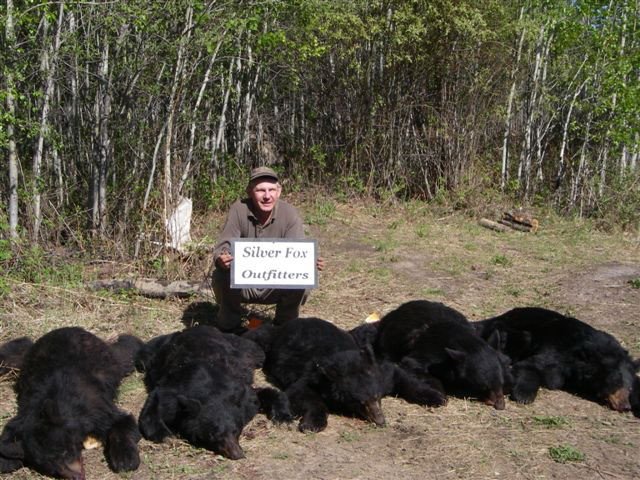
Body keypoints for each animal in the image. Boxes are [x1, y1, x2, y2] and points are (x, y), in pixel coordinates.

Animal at [0, 328, 141, 478]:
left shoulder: (94, 409)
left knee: (126, 353)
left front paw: (125, 459)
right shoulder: (25, 414)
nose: (77, 476)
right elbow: (9, 433)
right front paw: (8, 458)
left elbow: (121, 421)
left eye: (65, 451)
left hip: (110, 360)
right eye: (50, 468)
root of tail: (66, 328)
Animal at [139, 324, 294, 460]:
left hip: (242, 346)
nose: (238, 455)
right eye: (213, 435)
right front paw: (166, 436)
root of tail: (199, 326)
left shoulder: (242, 392)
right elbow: (154, 404)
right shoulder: (173, 392)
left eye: (236, 431)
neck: (211, 391)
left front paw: (284, 418)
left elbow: (262, 394)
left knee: (257, 351)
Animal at [242, 316, 448, 434]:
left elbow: (398, 375)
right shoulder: (315, 377)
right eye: (360, 402)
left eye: (377, 397)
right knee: (259, 337)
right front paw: (312, 424)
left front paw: (435, 396)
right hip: (270, 343)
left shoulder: (378, 371)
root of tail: (294, 321)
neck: (344, 359)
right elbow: (301, 393)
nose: (380, 421)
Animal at [372, 300, 512, 408]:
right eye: (484, 387)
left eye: (501, 383)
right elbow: (413, 365)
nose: (500, 406)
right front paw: (438, 393)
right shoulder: (427, 353)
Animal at [476, 308, 640, 416]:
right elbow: (533, 366)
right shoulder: (559, 351)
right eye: (615, 383)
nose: (626, 406)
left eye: (630, 388)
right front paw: (524, 396)